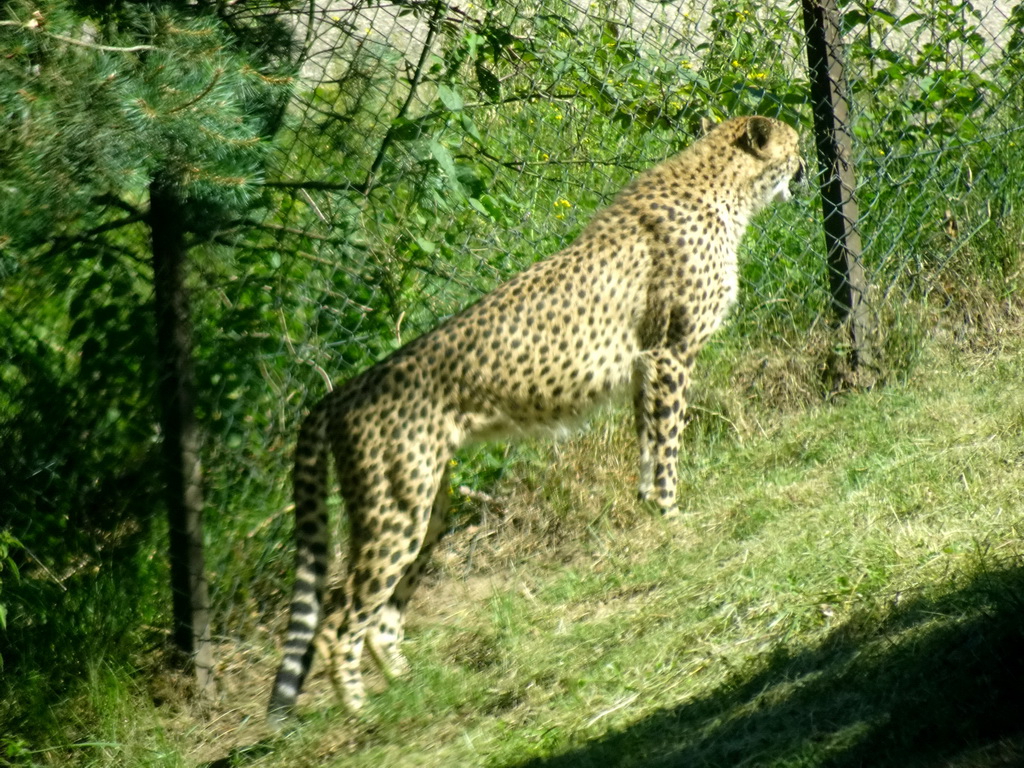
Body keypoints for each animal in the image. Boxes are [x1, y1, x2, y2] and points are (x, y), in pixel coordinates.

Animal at [268, 115, 802, 720]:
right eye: (795, 147)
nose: (808, 166)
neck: (722, 186)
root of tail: (345, 390)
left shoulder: (643, 367)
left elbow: (647, 445)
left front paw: (649, 508)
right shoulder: (668, 355)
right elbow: (667, 447)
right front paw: (673, 518)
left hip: (429, 508)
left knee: (381, 616)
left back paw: (414, 689)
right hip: (394, 509)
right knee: (338, 623)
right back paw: (363, 712)